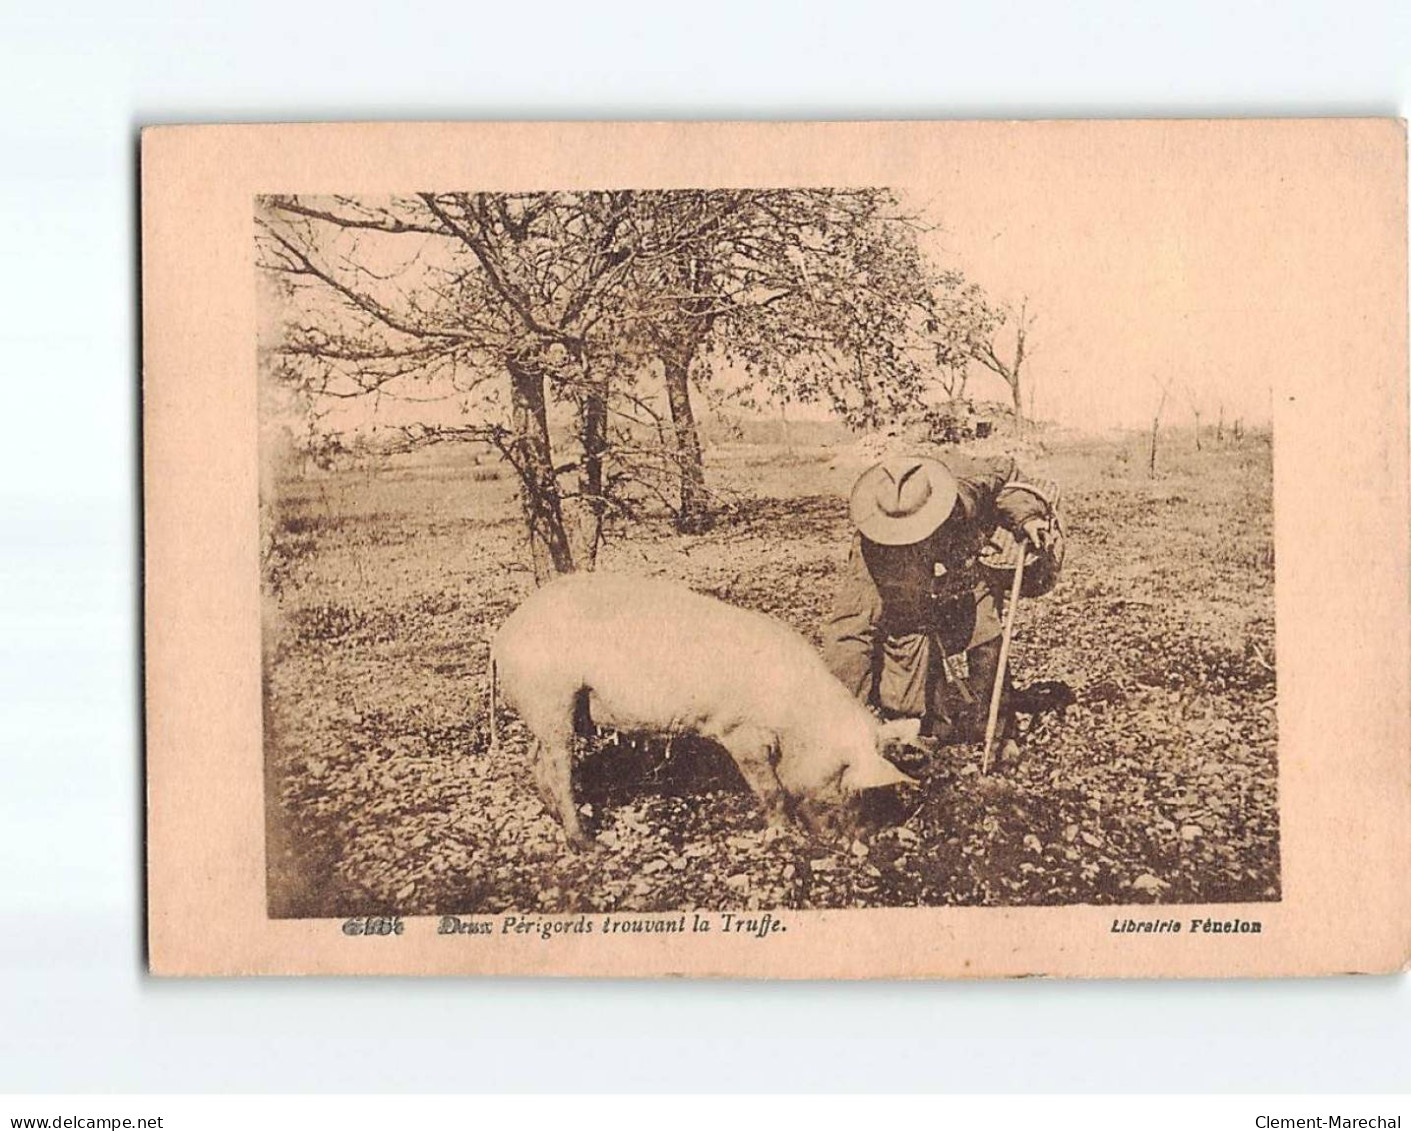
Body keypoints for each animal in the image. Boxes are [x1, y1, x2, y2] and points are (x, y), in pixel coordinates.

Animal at [491, 572, 919, 846]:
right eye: (846, 782)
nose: (858, 841)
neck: (796, 721)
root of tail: (504, 634)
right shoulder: (739, 732)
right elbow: (772, 789)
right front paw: (781, 834)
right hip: (550, 695)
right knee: (559, 766)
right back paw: (588, 842)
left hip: (554, 708)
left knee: (536, 758)